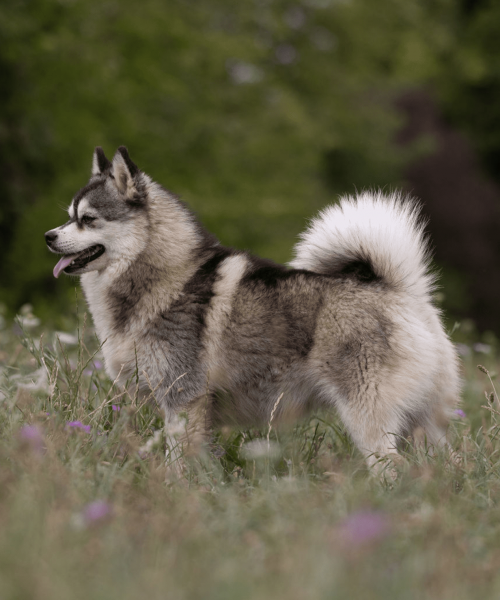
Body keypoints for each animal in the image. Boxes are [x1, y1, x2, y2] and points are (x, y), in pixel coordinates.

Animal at [46, 145, 460, 474]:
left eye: (88, 220)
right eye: (68, 216)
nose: (48, 236)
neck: (165, 275)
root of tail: (400, 290)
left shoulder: (183, 401)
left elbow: (178, 463)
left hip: (369, 421)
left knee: (394, 469)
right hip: (424, 426)